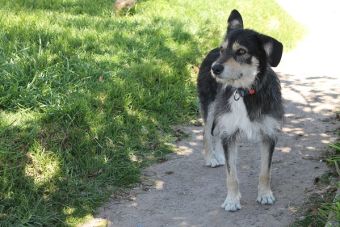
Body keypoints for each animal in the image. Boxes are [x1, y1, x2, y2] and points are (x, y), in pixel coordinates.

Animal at [197, 8, 284, 211]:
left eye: (241, 51)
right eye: (223, 50)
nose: (215, 68)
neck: (245, 92)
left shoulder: (269, 135)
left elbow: (265, 171)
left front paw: (265, 195)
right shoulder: (229, 133)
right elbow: (231, 175)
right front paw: (232, 200)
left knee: (216, 134)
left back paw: (219, 156)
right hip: (210, 107)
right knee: (207, 133)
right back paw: (211, 157)